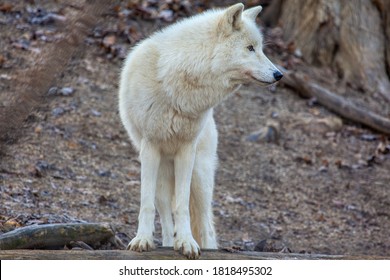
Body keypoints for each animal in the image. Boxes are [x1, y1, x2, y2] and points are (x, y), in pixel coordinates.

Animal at [117, 3, 282, 260]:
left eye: (260, 48)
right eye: (250, 48)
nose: (279, 74)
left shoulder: (186, 151)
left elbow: (182, 206)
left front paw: (186, 242)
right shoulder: (150, 147)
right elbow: (146, 203)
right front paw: (142, 240)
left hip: (200, 176)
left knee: (206, 224)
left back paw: (206, 247)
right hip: (163, 174)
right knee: (165, 214)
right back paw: (166, 243)